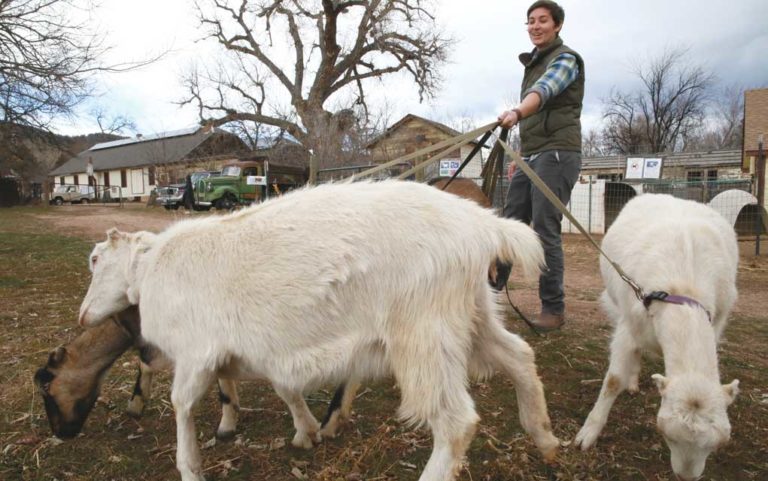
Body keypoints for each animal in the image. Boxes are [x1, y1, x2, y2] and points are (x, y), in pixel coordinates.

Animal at [78, 180, 559, 481]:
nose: (82, 316)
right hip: (471, 313)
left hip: (423, 333)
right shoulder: (258, 350)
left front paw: (189, 465)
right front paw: (306, 432)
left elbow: (182, 404)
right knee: (519, 355)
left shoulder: (196, 352)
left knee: (456, 422)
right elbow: (284, 388)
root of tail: (483, 225)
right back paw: (545, 438)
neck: (151, 271)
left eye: (95, 260)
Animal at [574, 194, 740, 481]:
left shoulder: (717, 321)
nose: (686, 476)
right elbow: (613, 380)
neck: (683, 291)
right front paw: (588, 434)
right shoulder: (629, 324)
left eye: (715, 444)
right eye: (668, 437)